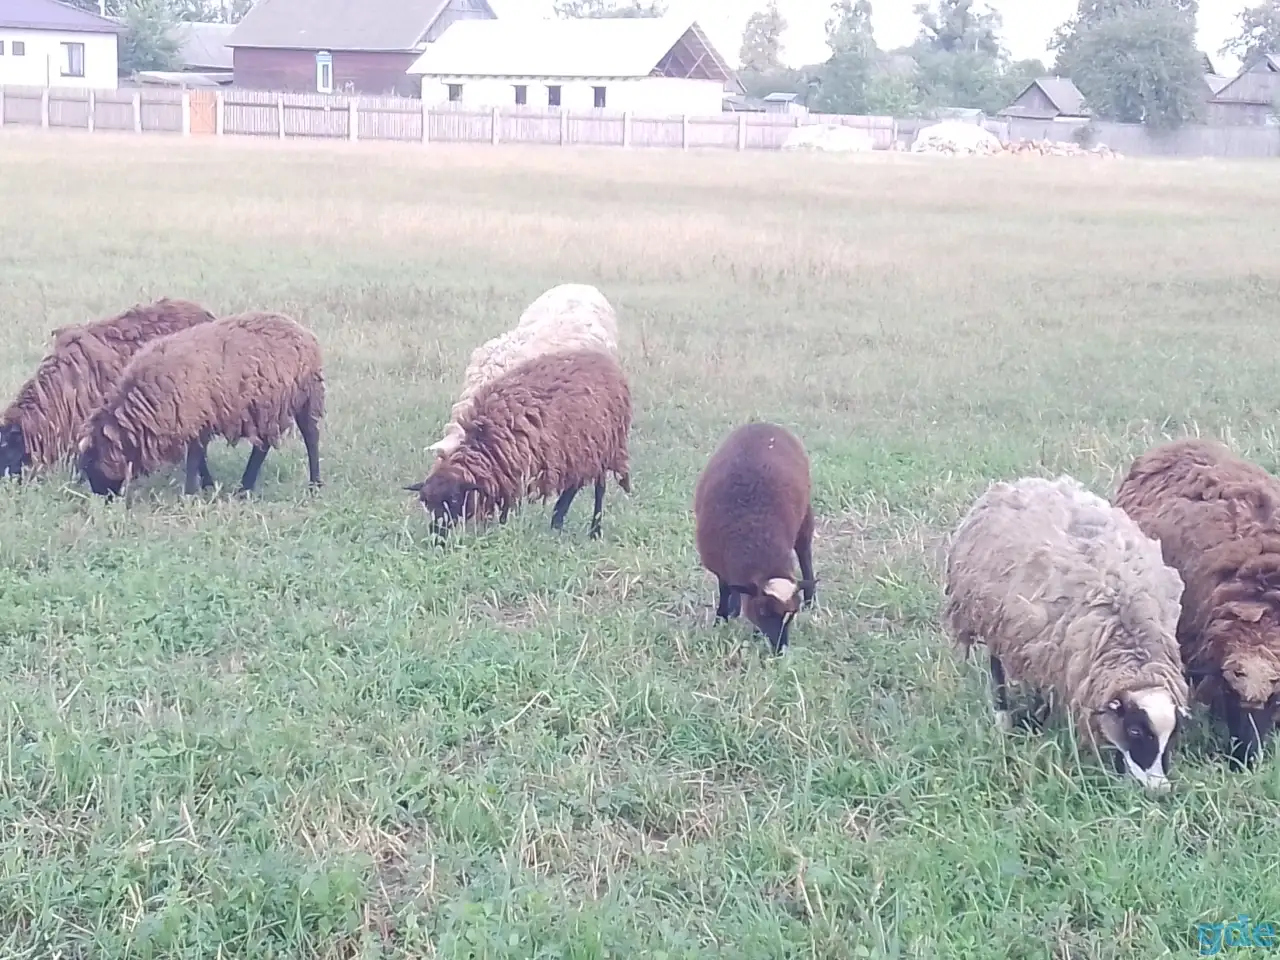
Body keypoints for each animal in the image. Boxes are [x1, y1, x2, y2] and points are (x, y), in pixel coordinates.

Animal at [76, 311, 325, 498]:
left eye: (93, 462)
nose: (104, 499)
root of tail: (304, 333)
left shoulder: (196, 417)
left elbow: (194, 458)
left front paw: (190, 492)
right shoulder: (197, 421)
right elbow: (200, 458)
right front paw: (207, 485)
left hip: (306, 396)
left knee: (311, 437)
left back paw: (314, 484)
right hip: (265, 407)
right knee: (262, 446)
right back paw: (245, 487)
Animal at [405, 348, 631, 541]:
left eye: (453, 500)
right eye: (427, 504)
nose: (437, 538)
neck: (483, 438)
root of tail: (603, 359)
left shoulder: (513, 471)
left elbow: (506, 508)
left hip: (605, 444)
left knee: (599, 489)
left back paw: (594, 530)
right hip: (578, 450)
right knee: (573, 486)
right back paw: (557, 522)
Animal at [692, 421, 817, 655]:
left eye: (791, 615)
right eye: (763, 612)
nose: (780, 650)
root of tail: (764, 424)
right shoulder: (720, 564)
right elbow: (725, 588)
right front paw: (723, 618)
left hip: (806, 512)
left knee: (805, 552)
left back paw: (811, 599)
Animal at [942, 474, 1190, 791]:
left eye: (1173, 734)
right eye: (1135, 730)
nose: (1161, 790)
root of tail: (1020, 483)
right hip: (992, 618)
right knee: (996, 666)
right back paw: (1003, 717)